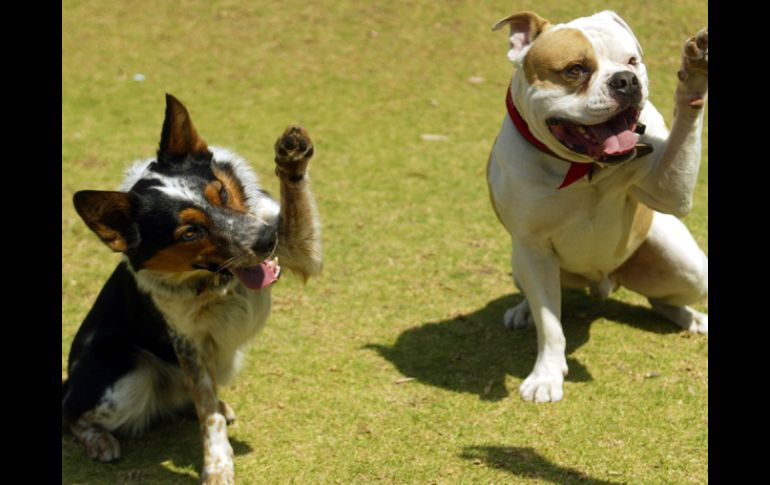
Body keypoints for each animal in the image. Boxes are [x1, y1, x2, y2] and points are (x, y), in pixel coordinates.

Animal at [62, 92, 320, 482]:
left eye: (223, 194)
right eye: (189, 232)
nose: (266, 240)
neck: (217, 281)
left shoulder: (300, 250)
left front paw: (291, 158)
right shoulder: (190, 344)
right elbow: (207, 415)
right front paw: (217, 466)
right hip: (128, 373)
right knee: (73, 414)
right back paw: (99, 440)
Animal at [488, 11, 704, 402]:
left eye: (632, 61)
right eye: (575, 69)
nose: (625, 80)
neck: (585, 168)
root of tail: (605, 281)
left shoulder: (669, 190)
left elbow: (684, 134)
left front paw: (694, 78)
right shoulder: (532, 248)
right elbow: (550, 325)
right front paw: (546, 376)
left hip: (692, 267)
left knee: (662, 299)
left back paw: (690, 317)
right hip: (521, 263)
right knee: (534, 294)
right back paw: (523, 311)